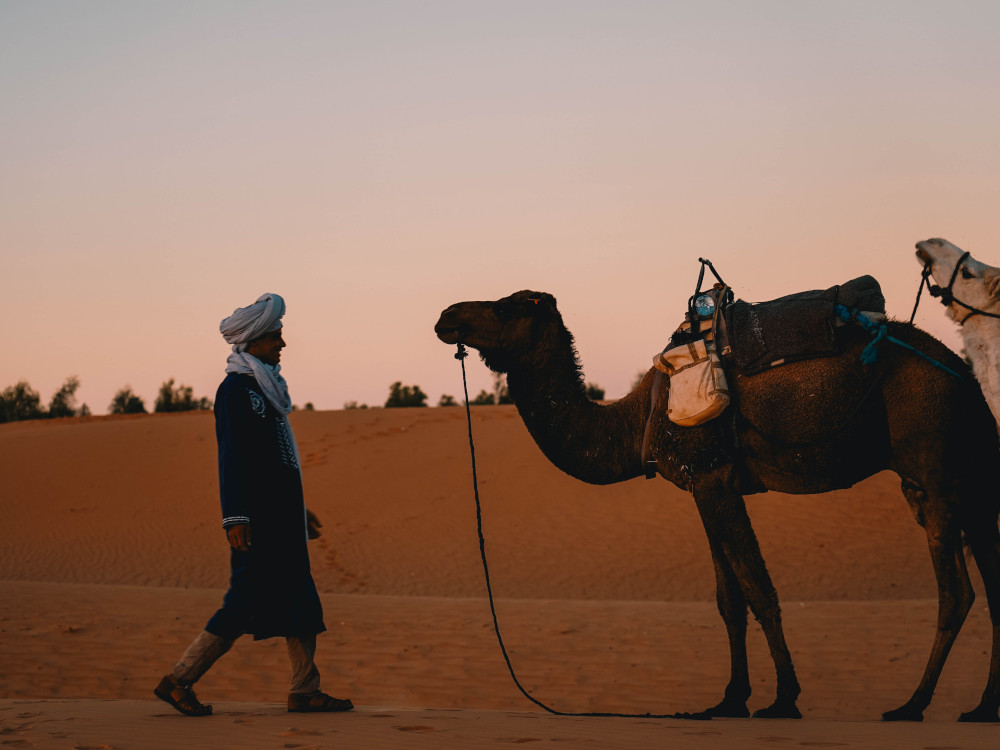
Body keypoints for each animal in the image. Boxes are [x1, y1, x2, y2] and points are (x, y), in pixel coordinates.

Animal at [436, 290, 1000, 724]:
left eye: (506, 307)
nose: (446, 316)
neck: (637, 419)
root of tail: (963, 374)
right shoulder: (703, 485)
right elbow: (729, 600)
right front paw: (729, 701)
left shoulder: (713, 476)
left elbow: (759, 589)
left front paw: (784, 700)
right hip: (966, 478)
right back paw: (981, 708)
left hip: (932, 462)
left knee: (956, 591)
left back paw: (912, 705)